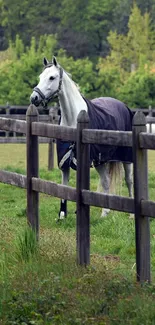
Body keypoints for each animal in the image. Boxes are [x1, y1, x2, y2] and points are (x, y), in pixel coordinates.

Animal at [30, 57, 134, 219]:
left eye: (52, 77)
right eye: (41, 77)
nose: (34, 98)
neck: (73, 118)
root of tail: (123, 106)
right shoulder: (64, 162)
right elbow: (64, 186)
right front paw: (62, 214)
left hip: (126, 158)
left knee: (129, 180)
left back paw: (131, 215)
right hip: (101, 161)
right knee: (106, 181)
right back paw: (105, 213)